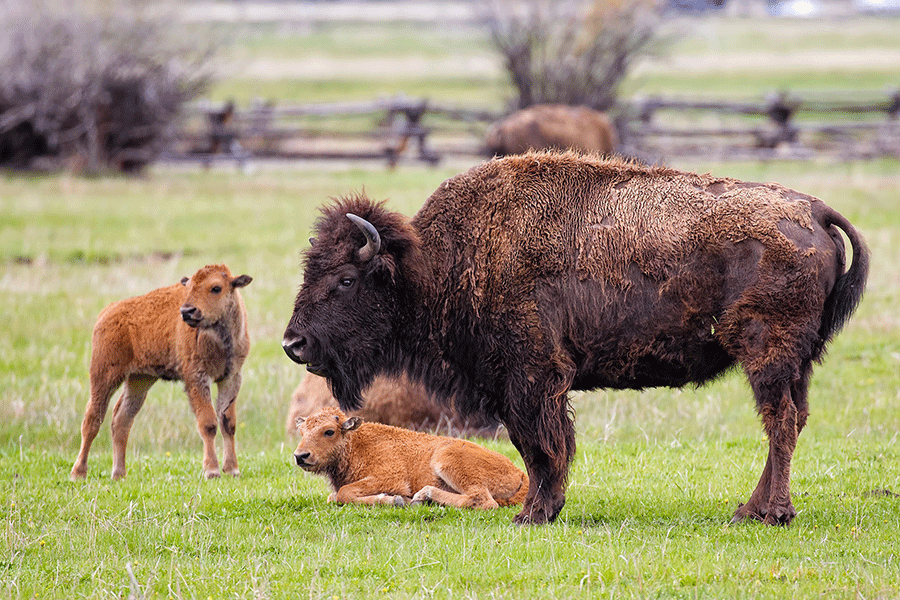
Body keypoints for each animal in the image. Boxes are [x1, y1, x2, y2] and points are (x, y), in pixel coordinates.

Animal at [69, 264, 253, 480]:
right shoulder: (197, 378)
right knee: (92, 419)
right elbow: (208, 423)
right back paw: (78, 472)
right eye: (189, 286)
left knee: (121, 419)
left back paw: (119, 473)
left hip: (140, 380)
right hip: (104, 375)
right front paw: (212, 471)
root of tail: (108, 311)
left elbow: (228, 423)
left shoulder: (231, 378)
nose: (187, 311)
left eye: (216, 288)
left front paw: (232, 469)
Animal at [292, 406, 532, 508]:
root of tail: (521, 474)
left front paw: (396, 499)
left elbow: (344, 492)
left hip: (446, 459)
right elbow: (334, 496)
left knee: (482, 500)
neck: (356, 444)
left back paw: (424, 496)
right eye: (302, 431)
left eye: (329, 431)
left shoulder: (390, 477)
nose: (301, 456)